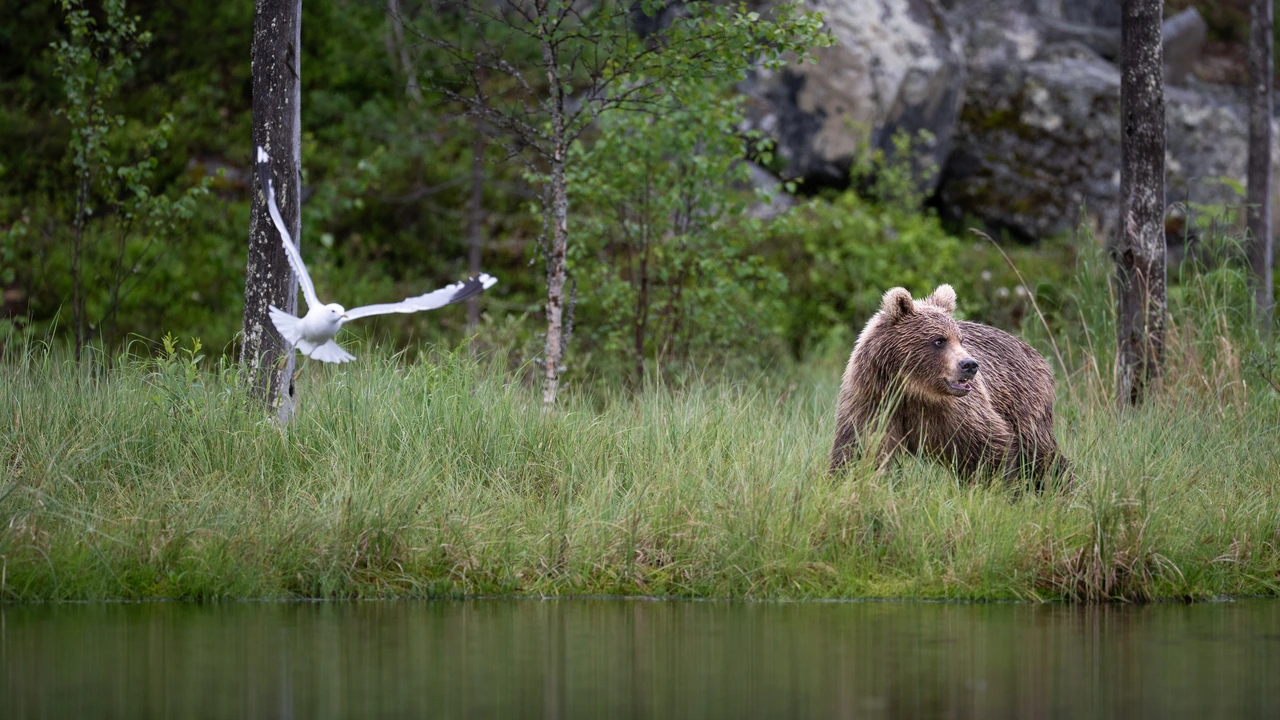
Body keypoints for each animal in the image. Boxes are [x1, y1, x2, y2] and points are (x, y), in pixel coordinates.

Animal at [829, 284, 1068, 490]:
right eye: (939, 340)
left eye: (961, 340)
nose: (970, 365)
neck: (913, 390)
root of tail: (1035, 353)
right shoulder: (873, 401)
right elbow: (859, 448)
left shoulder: (956, 411)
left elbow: (988, 445)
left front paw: (995, 489)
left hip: (1024, 402)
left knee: (1040, 452)